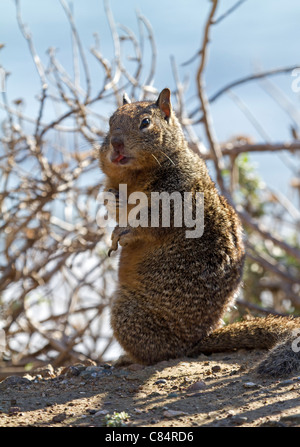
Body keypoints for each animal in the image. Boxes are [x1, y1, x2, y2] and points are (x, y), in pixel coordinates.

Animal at [99, 87, 300, 378]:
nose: (115, 143)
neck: (135, 175)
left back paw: (128, 358)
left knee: (158, 355)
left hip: (126, 311)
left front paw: (122, 233)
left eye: (145, 123)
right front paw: (110, 201)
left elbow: (148, 222)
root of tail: (197, 341)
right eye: (110, 121)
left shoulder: (174, 201)